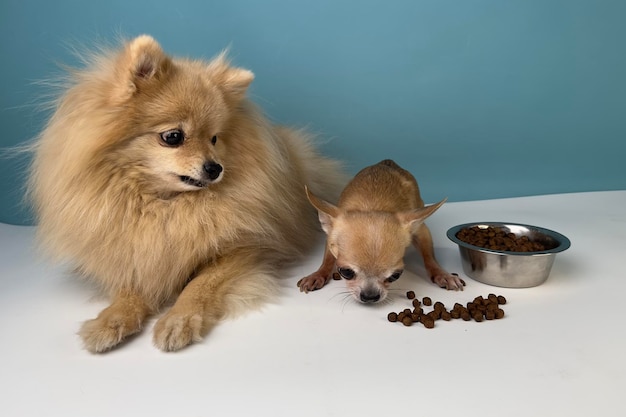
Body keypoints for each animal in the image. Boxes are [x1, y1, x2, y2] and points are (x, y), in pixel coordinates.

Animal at [28, 35, 342, 352]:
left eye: (214, 138)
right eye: (173, 137)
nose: (215, 168)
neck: (167, 206)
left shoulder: (244, 250)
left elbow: (199, 285)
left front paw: (179, 320)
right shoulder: (135, 254)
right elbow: (131, 288)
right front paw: (112, 319)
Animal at [298, 159, 464, 302]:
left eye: (396, 275)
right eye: (345, 272)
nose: (370, 296)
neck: (373, 204)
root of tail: (387, 161)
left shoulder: (421, 231)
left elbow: (429, 257)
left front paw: (442, 274)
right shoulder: (331, 236)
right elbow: (327, 259)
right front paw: (318, 274)